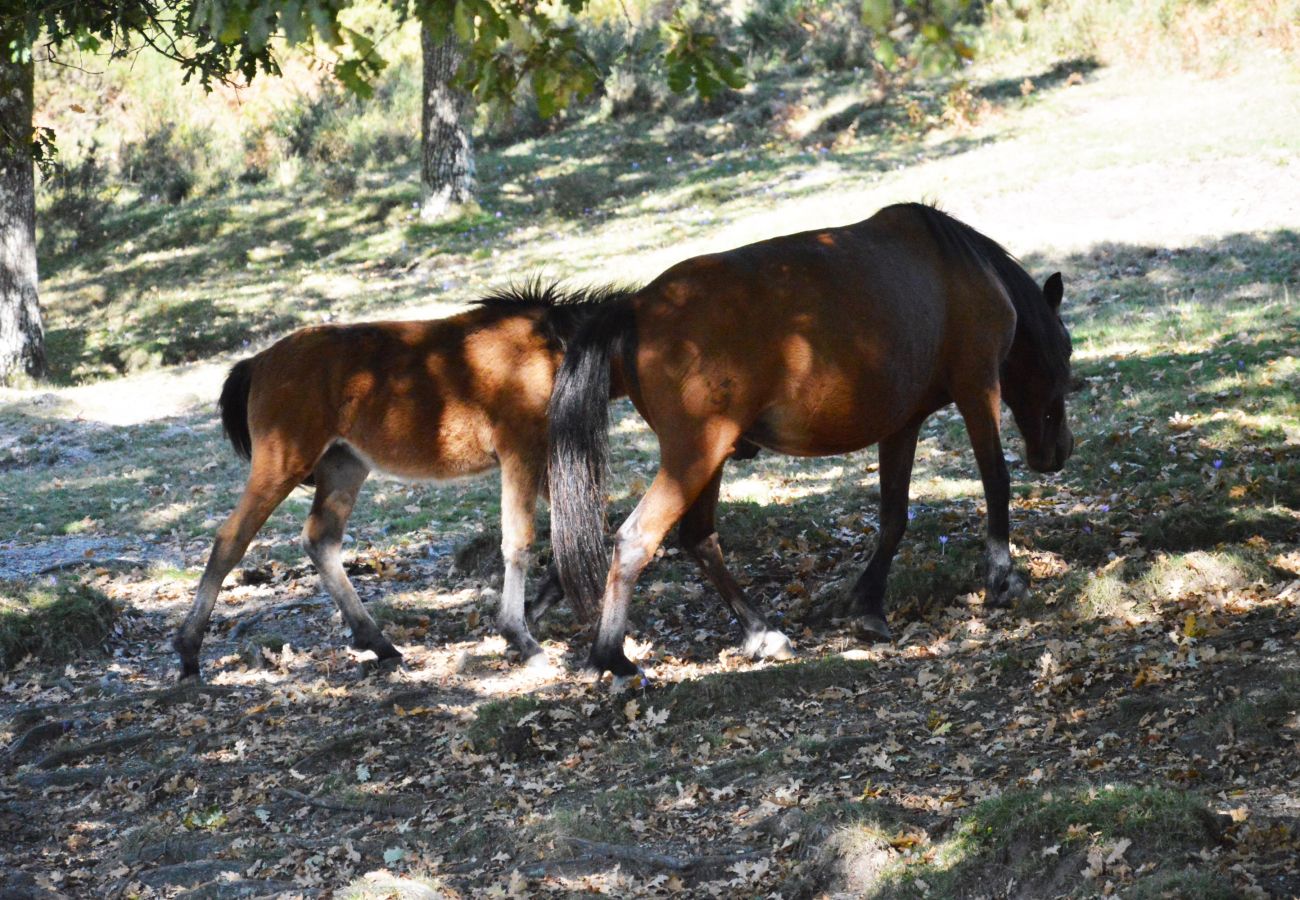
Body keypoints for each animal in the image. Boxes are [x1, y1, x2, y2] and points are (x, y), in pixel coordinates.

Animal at [175, 284, 626, 676]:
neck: (546, 345)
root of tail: (259, 362)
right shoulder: (521, 454)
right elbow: (520, 541)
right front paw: (521, 636)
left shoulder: (541, 460)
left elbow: (595, 525)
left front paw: (533, 609)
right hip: (281, 465)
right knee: (231, 540)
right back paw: (188, 651)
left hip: (344, 466)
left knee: (320, 540)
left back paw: (378, 642)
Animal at [553, 204, 1071, 676]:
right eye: (1066, 349)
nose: (1059, 449)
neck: (961, 267)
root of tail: (637, 308)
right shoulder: (978, 388)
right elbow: (996, 480)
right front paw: (1003, 578)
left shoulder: (902, 424)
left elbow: (893, 517)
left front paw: (867, 605)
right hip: (695, 455)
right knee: (635, 539)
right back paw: (611, 657)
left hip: (706, 460)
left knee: (698, 538)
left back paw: (761, 633)